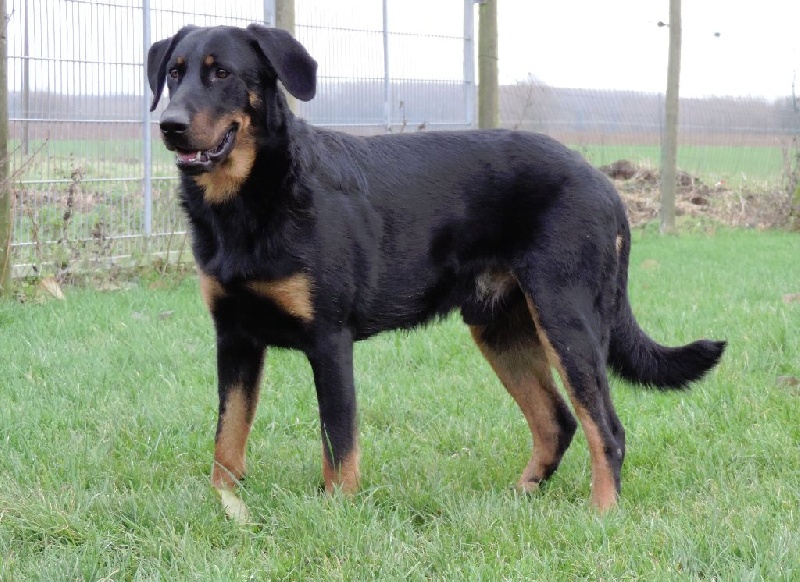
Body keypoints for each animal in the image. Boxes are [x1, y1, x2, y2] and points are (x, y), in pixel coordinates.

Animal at [147, 24, 725, 512]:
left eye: (222, 73)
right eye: (174, 73)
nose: (169, 126)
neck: (251, 202)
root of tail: (606, 185)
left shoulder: (329, 340)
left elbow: (338, 444)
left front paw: (338, 513)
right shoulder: (235, 339)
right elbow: (227, 438)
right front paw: (226, 506)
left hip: (567, 321)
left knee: (606, 428)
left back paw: (601, 513)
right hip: (501, 328)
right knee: (557, 421)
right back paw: (520, 496)